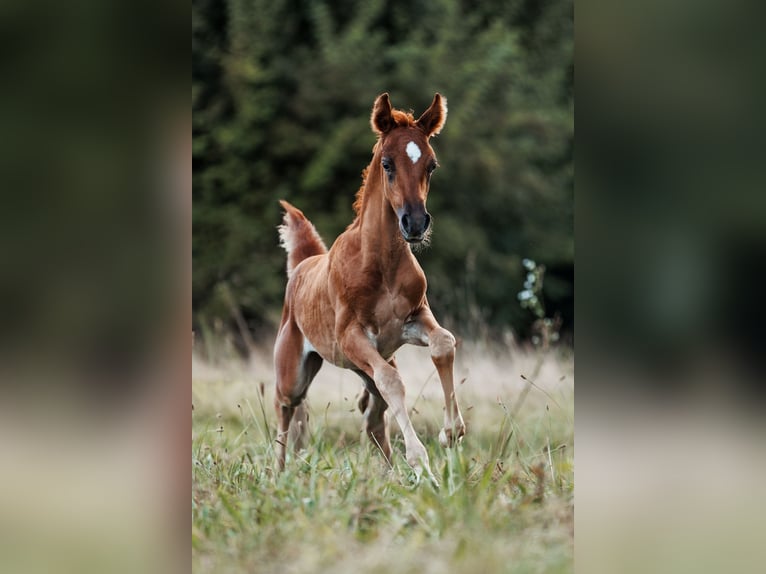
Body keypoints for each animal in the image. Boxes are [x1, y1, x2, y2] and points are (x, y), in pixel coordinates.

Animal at [276, 93, 468, 482]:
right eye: (387, 163)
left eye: (432, 165)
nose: (415, 223)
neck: (381, 264)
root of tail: (302, 264)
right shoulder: (352, 336)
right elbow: (393, 380)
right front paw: (420, 459)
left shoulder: (413, 320)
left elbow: (444, 343)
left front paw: (451, 433)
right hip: (294, 371)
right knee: (288, 408)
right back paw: (279, 473)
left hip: (366, 368)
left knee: (373, 417)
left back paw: (390, 474)